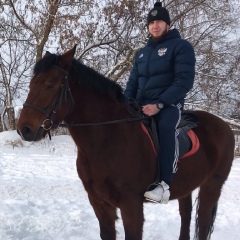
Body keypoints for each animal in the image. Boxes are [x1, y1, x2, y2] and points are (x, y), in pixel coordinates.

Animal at [17, 45, 235, 240]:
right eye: (31, 84)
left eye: (51, 84)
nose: (24, 129)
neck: (108, 139)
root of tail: (225, 126)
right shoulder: (99, 202)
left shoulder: (131, 205)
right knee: (186, 217)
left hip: (212, 186)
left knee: (203, 223)